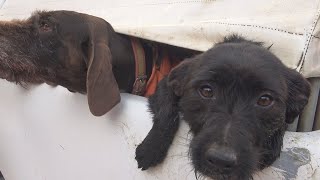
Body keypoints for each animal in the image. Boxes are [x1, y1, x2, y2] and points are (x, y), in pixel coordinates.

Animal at [135, 35, 310, 179]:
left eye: (265, 100)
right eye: (206, 91)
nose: (220, 160)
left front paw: (273, 143)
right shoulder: (166, 84)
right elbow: (166, 112)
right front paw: (151, 147)